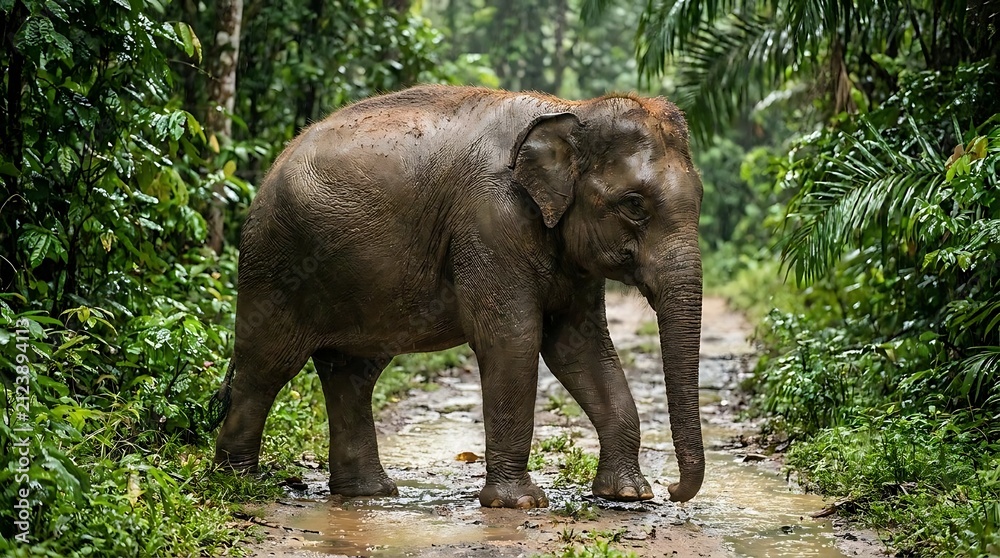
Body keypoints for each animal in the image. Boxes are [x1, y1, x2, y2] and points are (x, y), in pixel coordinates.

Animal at [212, 85, 705, 509]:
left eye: (700, 198)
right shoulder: (490, 221)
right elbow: (513, 340)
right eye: (635, 205)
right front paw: (519, 503)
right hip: (275, 262)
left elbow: (580, 347)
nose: (673, 490)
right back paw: (239, 483)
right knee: (266, 366)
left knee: (352, 373)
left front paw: (628, 495)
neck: (572, 108)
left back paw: (367, 493)